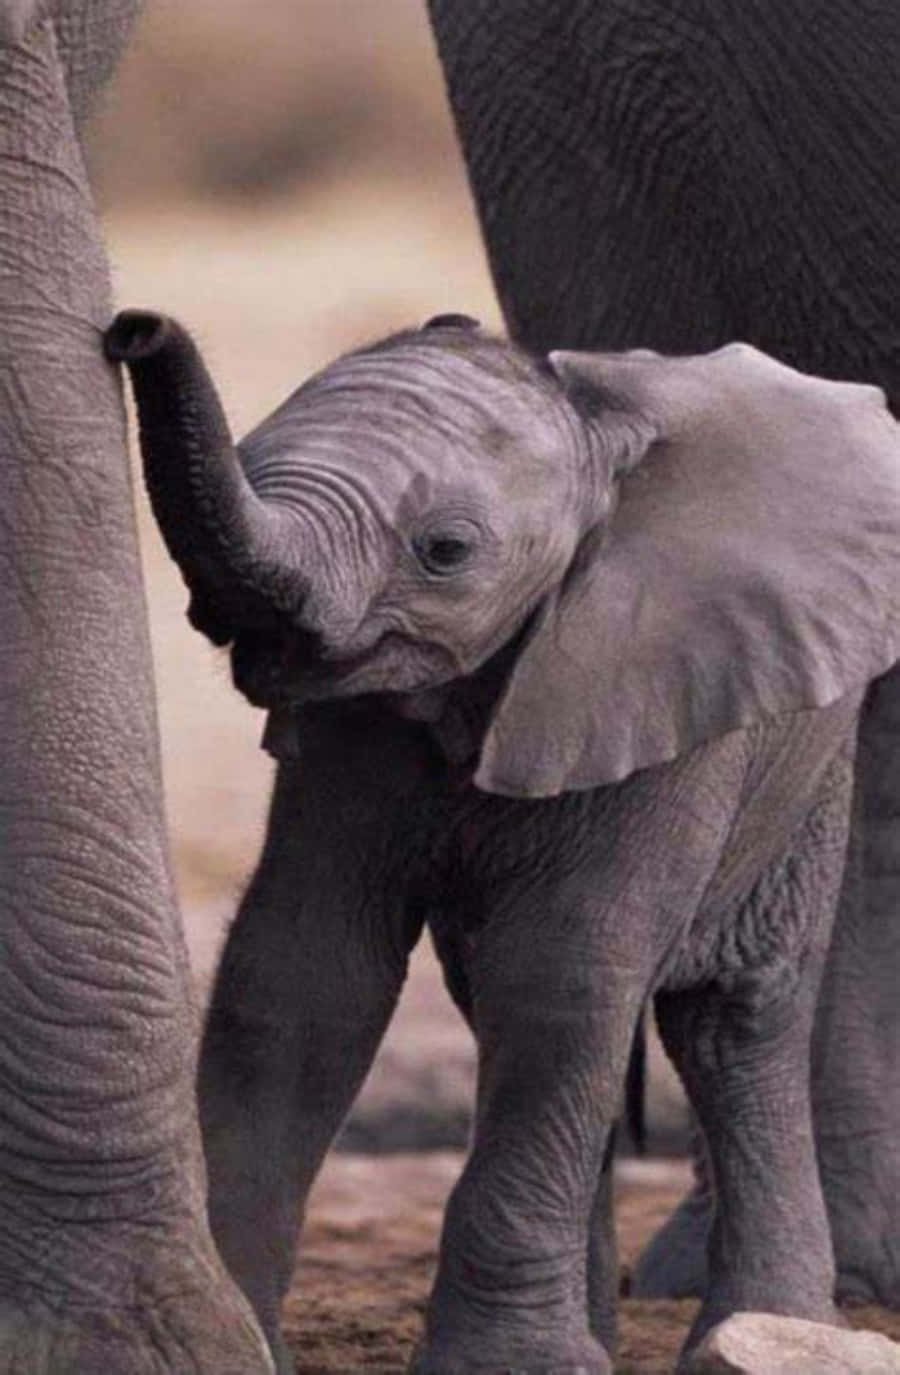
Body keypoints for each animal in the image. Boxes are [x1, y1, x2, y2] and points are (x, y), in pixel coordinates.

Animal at [105, 305, 900, 1371]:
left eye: (443, 550)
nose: (133, 327)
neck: (592, 436)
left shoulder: (649, 685)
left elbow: (561, 975)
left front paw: (509, 1363)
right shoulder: (353, 729)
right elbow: (303, 975)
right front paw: (244, 1340)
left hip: (803, 762)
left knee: (731, 1020)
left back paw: (765, 1326)